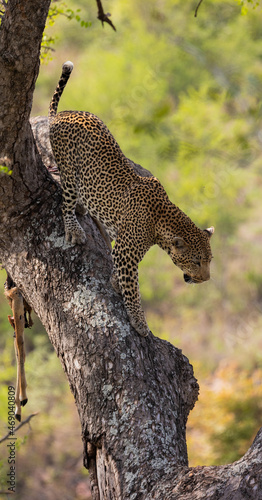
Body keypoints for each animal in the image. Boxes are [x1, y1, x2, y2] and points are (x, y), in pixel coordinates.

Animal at [48, 61, 214, 336]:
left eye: (210, 260)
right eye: (196, 261)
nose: (206, 279)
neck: (161, 221)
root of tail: (61, 114)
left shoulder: (125, 251)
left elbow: (123, 277)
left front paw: (115, 282)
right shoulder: (126, 252)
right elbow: (133, 289)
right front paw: (139, 322)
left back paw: (83, 207)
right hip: (69, 170)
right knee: (65, 201)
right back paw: (74, 228)